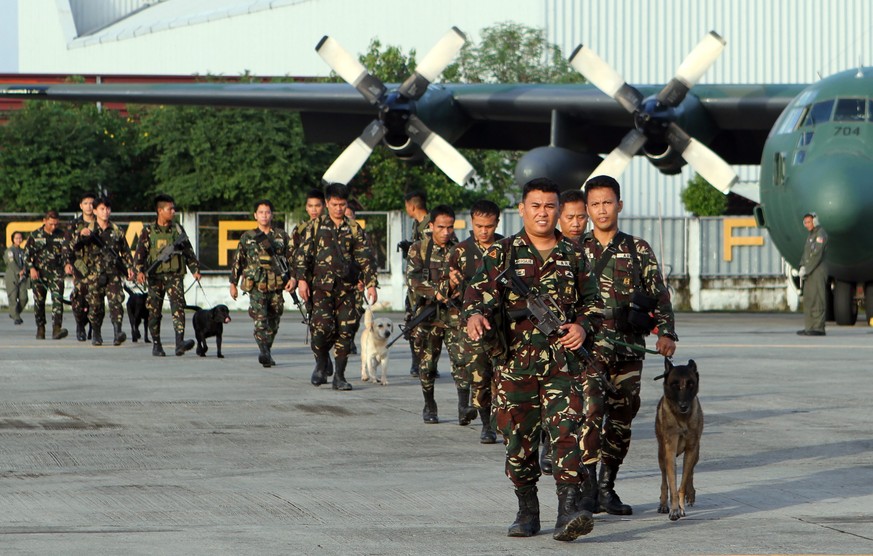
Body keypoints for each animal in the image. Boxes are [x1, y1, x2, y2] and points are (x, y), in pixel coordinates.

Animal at [656, 360, 700, 520]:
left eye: (690, 384)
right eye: (674, 384)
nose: (683, 406)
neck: (682, 419)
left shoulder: (691, 449)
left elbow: (683, 483)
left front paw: (681, 506)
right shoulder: (669, 450)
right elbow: (672, 484)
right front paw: (674, 509)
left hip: (696, 452)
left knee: (691, 471)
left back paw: (691, 494)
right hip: (661, 454)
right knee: (664, 479)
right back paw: (663, 504)